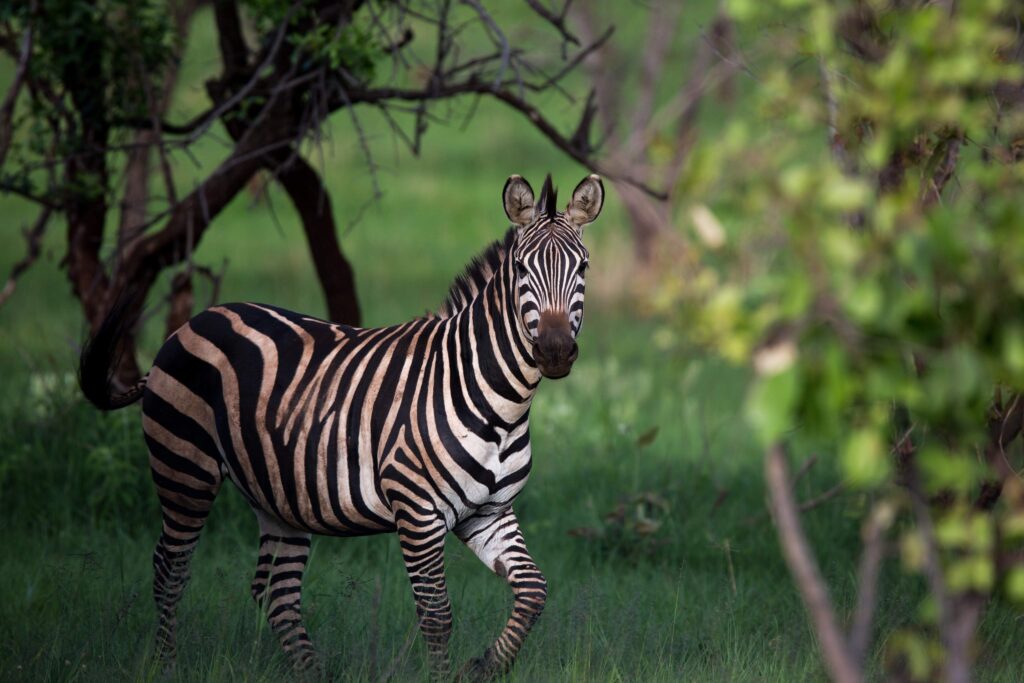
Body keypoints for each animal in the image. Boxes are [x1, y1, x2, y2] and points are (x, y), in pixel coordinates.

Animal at [78, 173, 604, 680]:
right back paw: (165, 663)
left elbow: (534, 590)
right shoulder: (417, 513)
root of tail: (190, 325)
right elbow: (437, 615)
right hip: (184, 467)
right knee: (171, 566)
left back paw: (313, 673)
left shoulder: (490, 513)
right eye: (522, 270)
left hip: (277, 494)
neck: (501, 407)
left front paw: (486, 665)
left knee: (275, 590)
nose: (555, 352)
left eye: (582, 269)